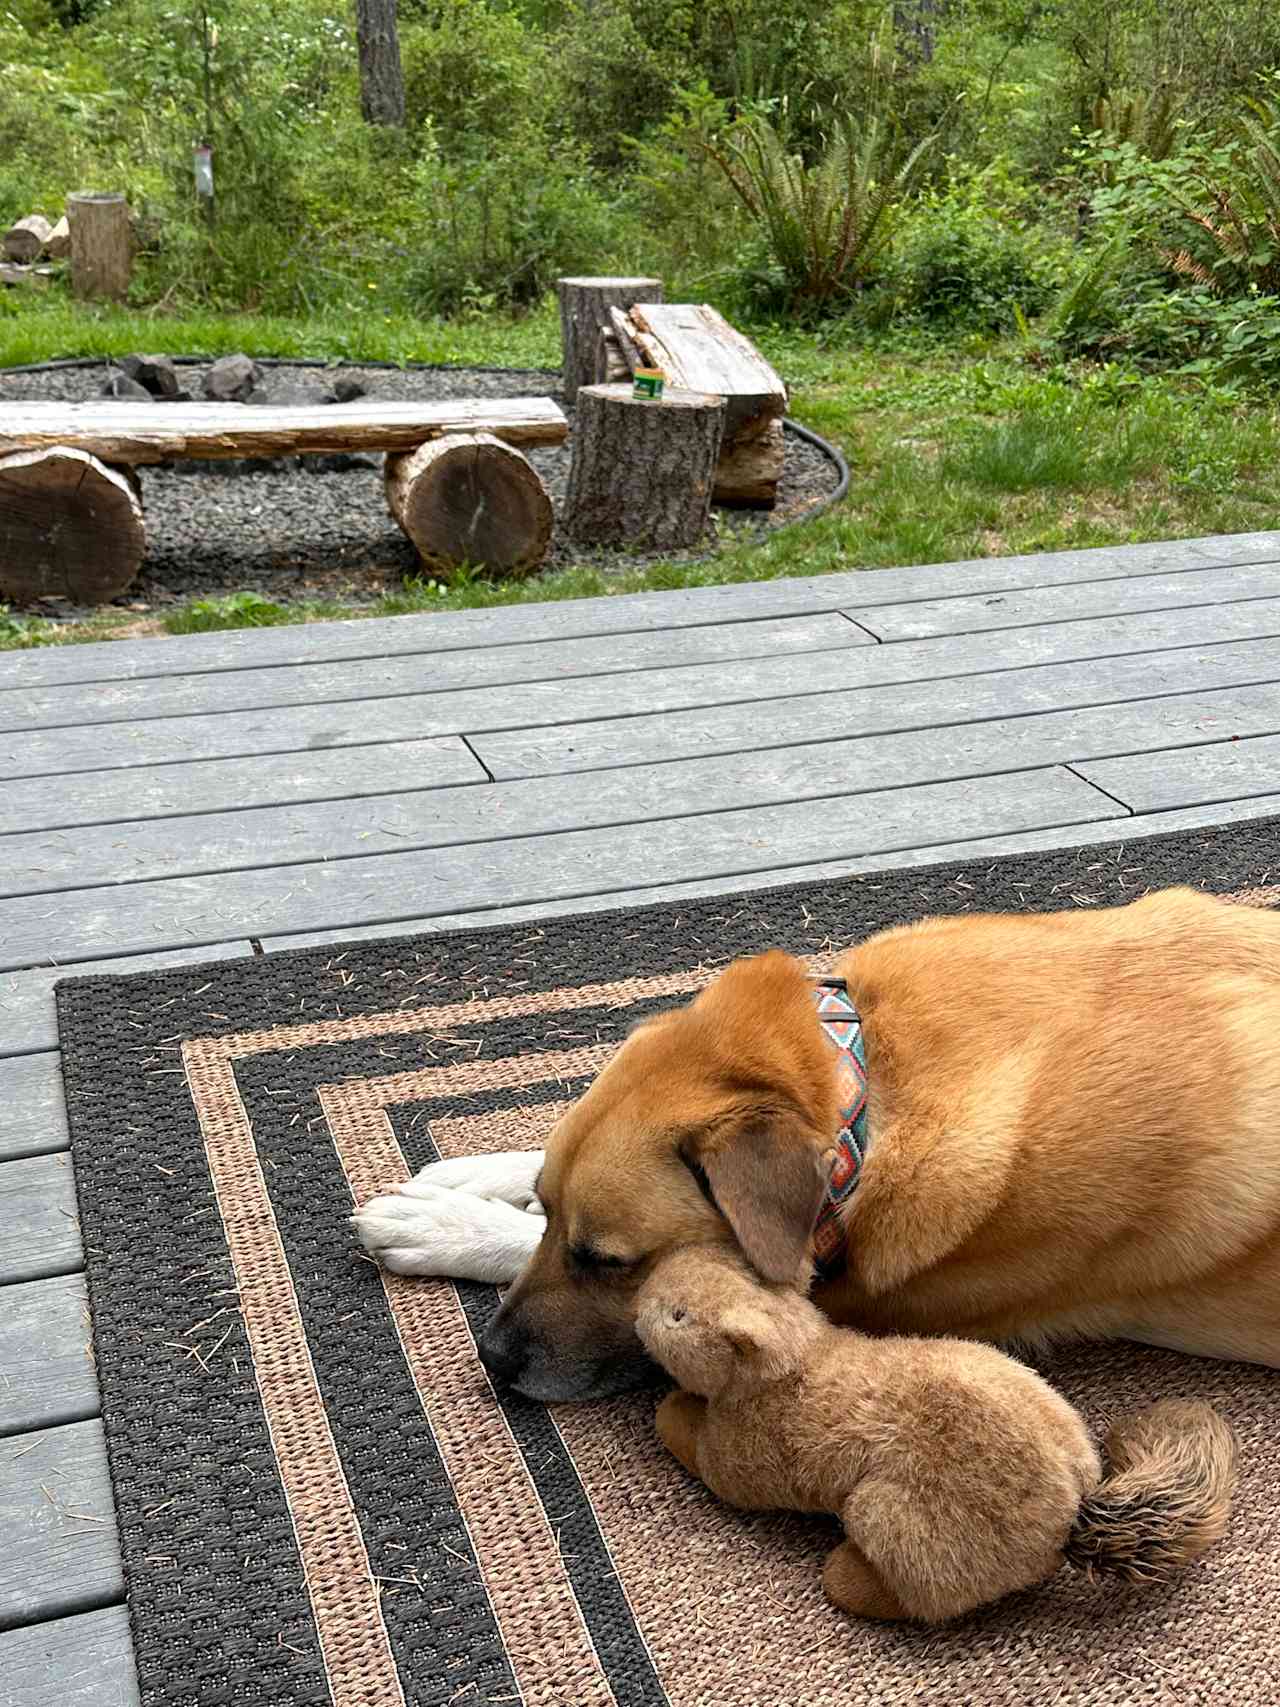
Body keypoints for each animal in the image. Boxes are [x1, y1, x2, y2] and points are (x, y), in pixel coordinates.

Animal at [356, 880, 1280, 1399]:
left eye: (610, 1262)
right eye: (554, 1214)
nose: (490, 1355)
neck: (866, 1091)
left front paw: (444, 1226)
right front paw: (472, 1180)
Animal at [641, 1249, 1242, 1618]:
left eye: (678, 1315)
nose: (644, 1288)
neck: (798, 1353)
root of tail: (1074, 1517)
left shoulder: (738, 1461)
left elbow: (694, 1445)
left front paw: (670, 1407)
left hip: (889, 1517)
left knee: (921, 1596)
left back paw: (845, 1577)